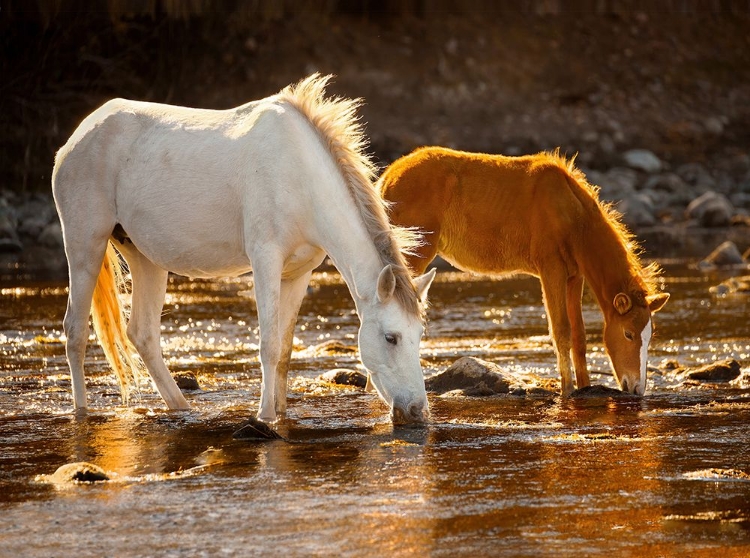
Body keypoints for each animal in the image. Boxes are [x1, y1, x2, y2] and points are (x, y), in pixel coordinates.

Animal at [53, 74, 438, 424]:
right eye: (391, 337)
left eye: (420, 335)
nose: (417, 411)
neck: (300, 176)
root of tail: (75, 140)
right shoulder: (265, 260)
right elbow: (268, 345)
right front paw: (265, 416)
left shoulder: (299, 273)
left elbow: (284, 349)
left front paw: (281, 413)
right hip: (85, 243)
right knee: (76, 330)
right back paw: (81, 412)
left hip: (145, 257)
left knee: (142, 334)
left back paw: (181, 408)